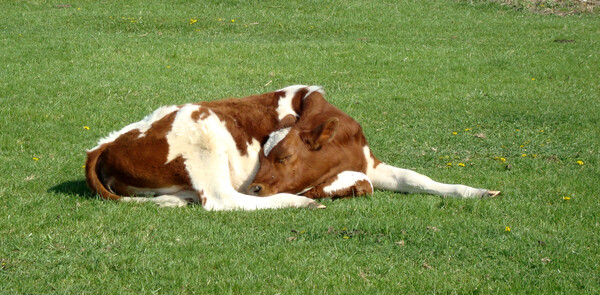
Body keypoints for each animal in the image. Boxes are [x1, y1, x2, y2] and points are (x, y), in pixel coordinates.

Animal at [246, 86, 500, 200]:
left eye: (285, 156)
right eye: (260, 158)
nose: (253, 188)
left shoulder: (371, 164)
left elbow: (415, 178)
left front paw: (476, 191)